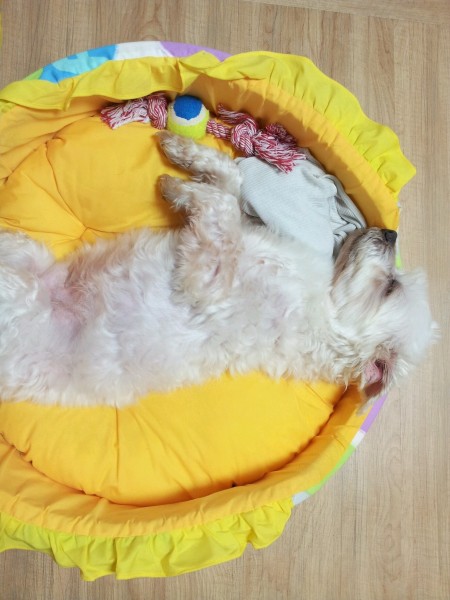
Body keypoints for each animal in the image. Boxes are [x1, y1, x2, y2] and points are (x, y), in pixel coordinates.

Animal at [0, 132, 437, 408]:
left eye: (390, 286)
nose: (391, 232)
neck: (318, 301)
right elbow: (231, 179)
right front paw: (180, 158)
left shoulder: (206, 278)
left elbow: (221, 205)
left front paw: (179, 189)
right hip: (25, 251)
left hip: (19, 298)